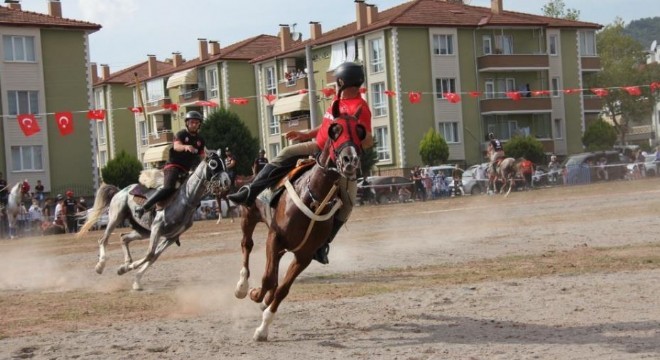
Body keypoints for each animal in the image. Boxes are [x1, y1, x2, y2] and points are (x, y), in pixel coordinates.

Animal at [77, 150, 231, 292]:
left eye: (224, 163)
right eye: (213, 164)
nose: (227, 182)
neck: (185, 200)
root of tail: (120, 190)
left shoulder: (171, 237)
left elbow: (154, 257)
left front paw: (132, 276)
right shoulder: (157, 229)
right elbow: (150, 254)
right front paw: (130, 269)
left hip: (143, 231)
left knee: (123, 238)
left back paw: (125, 264)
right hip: (116, 218)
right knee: (103, 240)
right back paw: (100, 265)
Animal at [233, 117, 366, 340]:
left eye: (359, 132)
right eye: (335, 131)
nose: (351, 160)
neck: (313, 198)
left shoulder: (304, 256)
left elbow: (282, 289)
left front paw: (263, 325)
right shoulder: (274, 237)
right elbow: (267, 279)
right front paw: (255, 294)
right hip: (248, 217)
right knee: (247, 245)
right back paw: (242, 286)